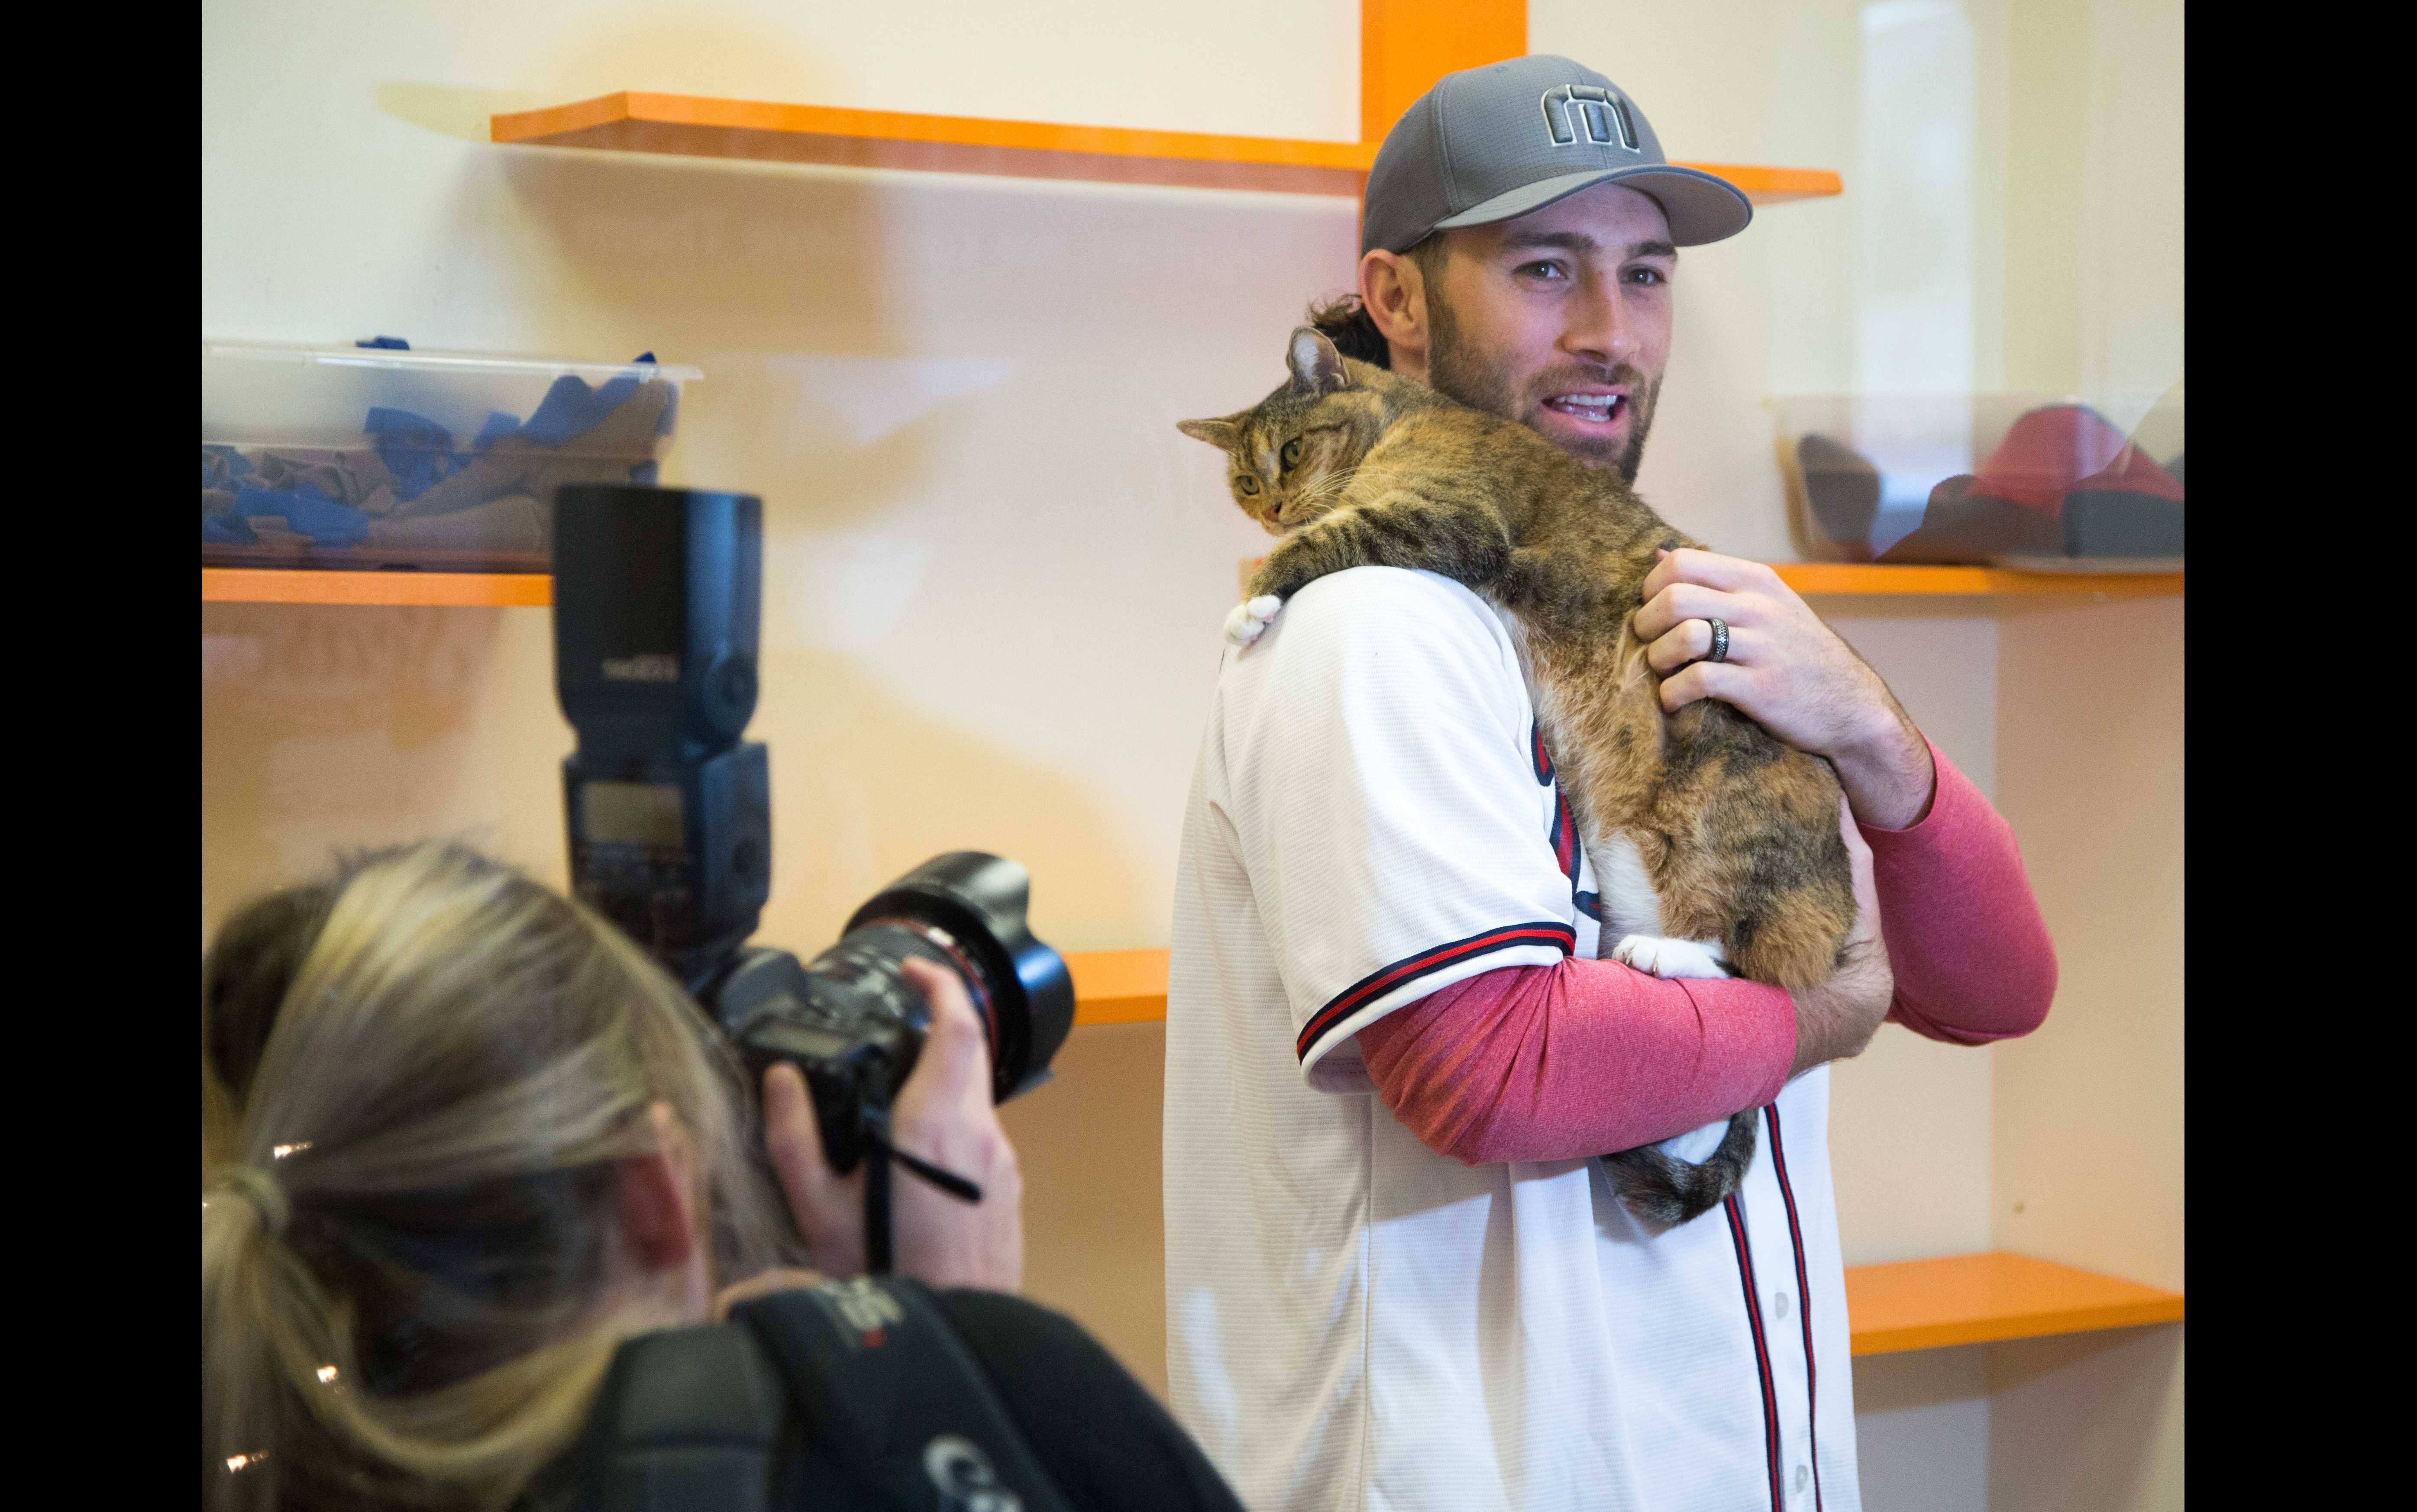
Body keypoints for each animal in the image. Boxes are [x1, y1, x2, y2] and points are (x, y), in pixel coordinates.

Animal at [1174, 328, 1846, 1227]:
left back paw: (1666, 953)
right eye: (1246, 482)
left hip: (1723, 814)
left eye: (1289, 451)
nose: (1272, 508)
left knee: (1765, 962)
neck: (1403, 424)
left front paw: (1252, 599)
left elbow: (1328, 539)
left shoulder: (1450, 515)